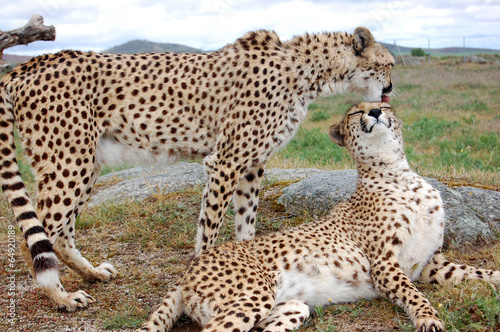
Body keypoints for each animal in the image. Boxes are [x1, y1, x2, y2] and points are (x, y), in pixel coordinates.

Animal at [0, 27, 394, 310]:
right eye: (389, 64)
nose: (390, 88)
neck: (309, 72)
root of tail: (33, 62)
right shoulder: (226, 161)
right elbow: (210, 229)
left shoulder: (252, 164)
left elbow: (246, 224)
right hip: (68, 160)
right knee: (36, 237)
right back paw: (62, 298)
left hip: (86, 163)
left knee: (60, 232)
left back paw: (92, 273)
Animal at [140, 102, 500, 330]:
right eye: (356, 111)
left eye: (384, 105)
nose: (375, 111)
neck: (394, 171)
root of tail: (193, 263)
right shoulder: (385, 265)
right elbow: (415, 296)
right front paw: (428, 319)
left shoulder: (426, 263)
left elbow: (476, 272)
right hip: (252, 296)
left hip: (289, 306)